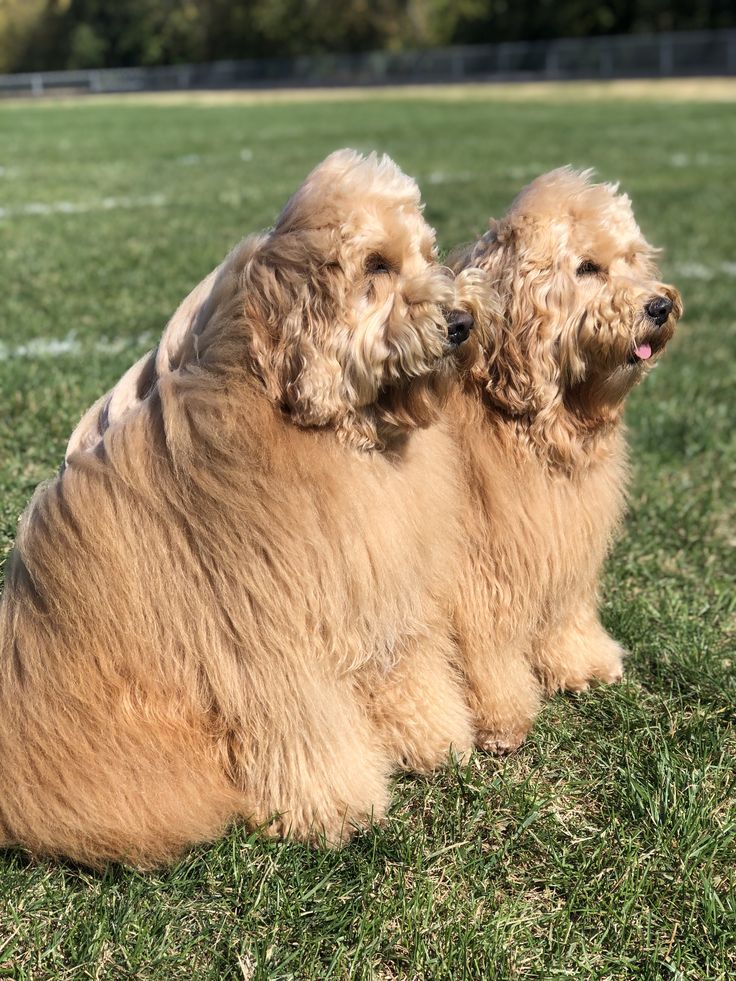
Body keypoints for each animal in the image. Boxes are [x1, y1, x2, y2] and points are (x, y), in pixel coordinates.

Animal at [442, 167, 680, 752]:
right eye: (587, 268)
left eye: (632, 260)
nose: (660, 306)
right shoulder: (476, 569)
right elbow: (483, 644)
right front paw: (499, 718)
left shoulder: (561, 531)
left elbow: (565, 608)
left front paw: (582, 665)